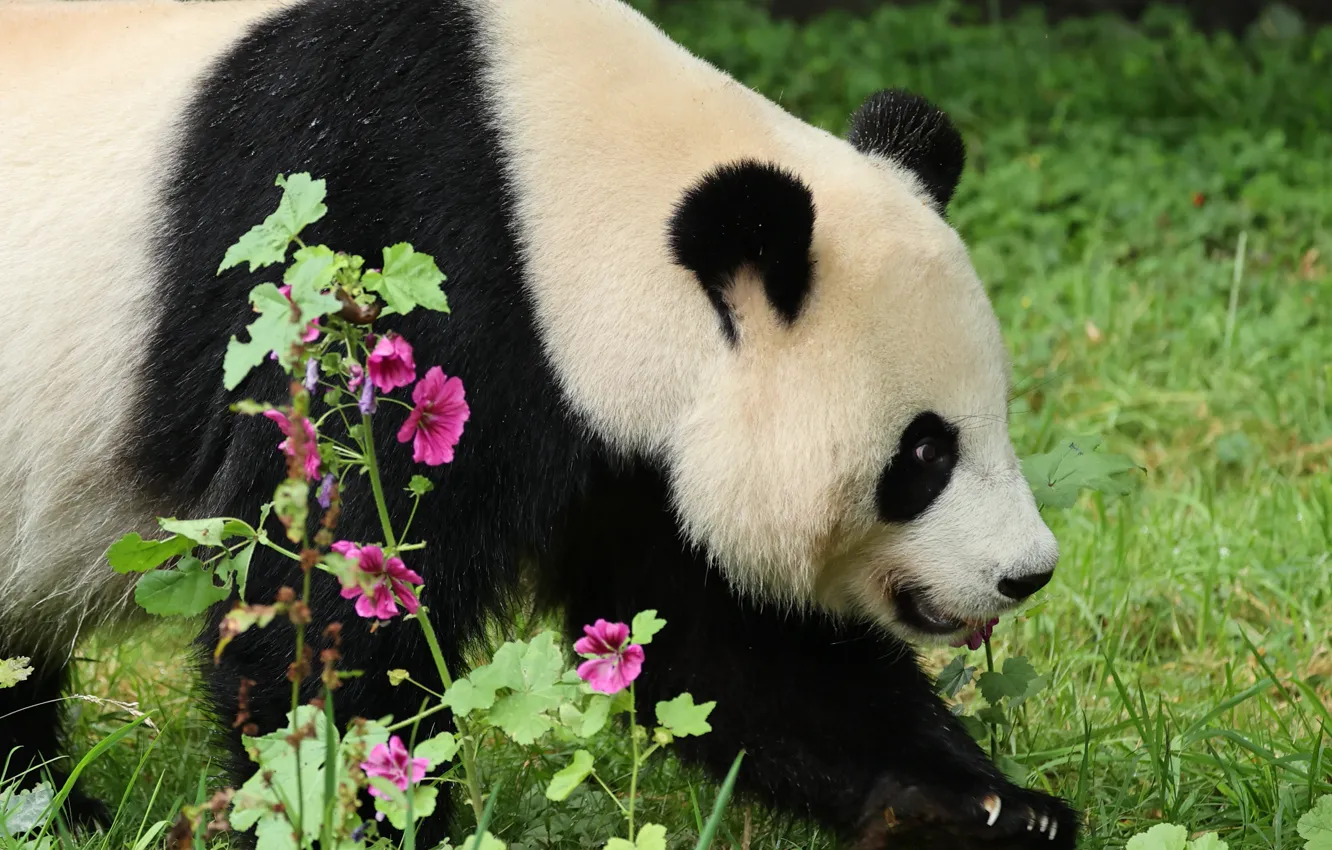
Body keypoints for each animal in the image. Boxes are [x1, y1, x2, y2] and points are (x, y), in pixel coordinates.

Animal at [0, 0, 1077, 846]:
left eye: (997, 416)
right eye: (925, 452)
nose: (1026, 573)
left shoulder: (623, 432)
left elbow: (728, 642)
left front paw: (981, 809)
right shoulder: (374, 268)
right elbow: (331, 600)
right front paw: (381, 816)